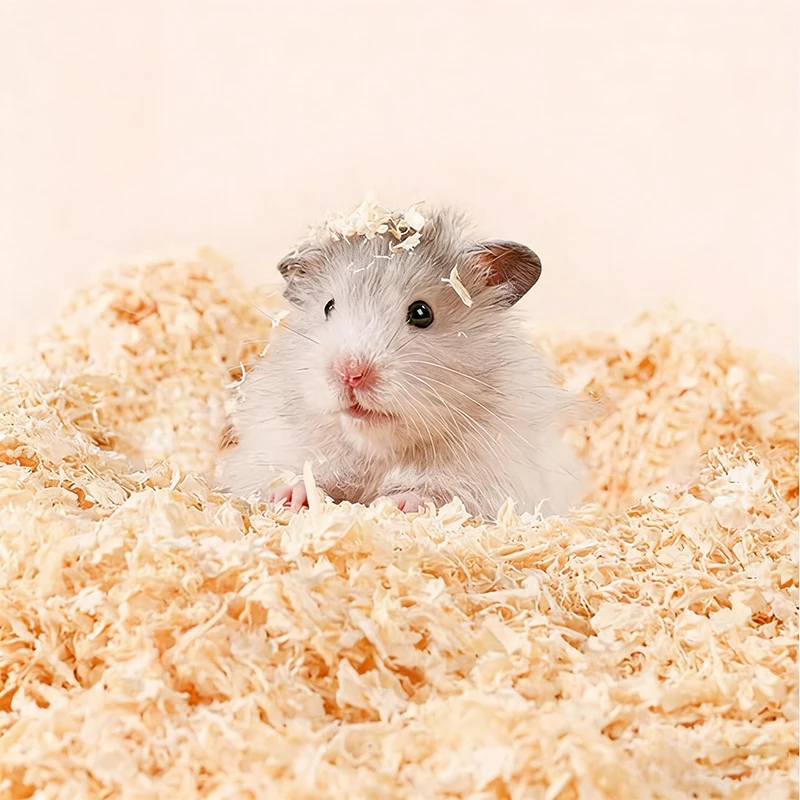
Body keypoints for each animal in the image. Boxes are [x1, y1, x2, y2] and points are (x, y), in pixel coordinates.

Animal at [217, 206, 584, 518]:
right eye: (328, 307)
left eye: (422, 313)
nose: (350, 373)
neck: (376, 449)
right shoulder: (271, 447)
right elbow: (286, 474)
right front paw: (292, 497)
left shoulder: (503, 480)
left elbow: (446, 496)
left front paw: (394, 504)